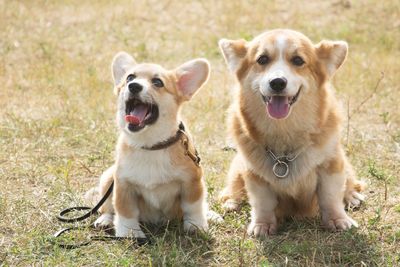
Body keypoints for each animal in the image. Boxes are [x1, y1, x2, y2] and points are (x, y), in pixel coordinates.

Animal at [93, 51, 212, 239]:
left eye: (158, 82)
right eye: (130, 78)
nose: (134, 86)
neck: (150, 145)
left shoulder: (192, 181)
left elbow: (193, 207)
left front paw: (196, 226)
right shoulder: (123, 184)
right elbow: (125, 211)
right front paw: (129, 233)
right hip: (107, 178)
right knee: (107, 207)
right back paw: (105, 220)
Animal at [219, 29, 366, 238]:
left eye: (298, 60)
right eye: (262, 59)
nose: (277, 82)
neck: (284, 130)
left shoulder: (331, 164)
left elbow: (330, 197)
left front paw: (338, 221)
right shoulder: (254, 175)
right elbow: (262, 202)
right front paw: (262, 225)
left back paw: (351, 195)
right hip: (237, 167)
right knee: (234, 185)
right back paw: (232, 201)